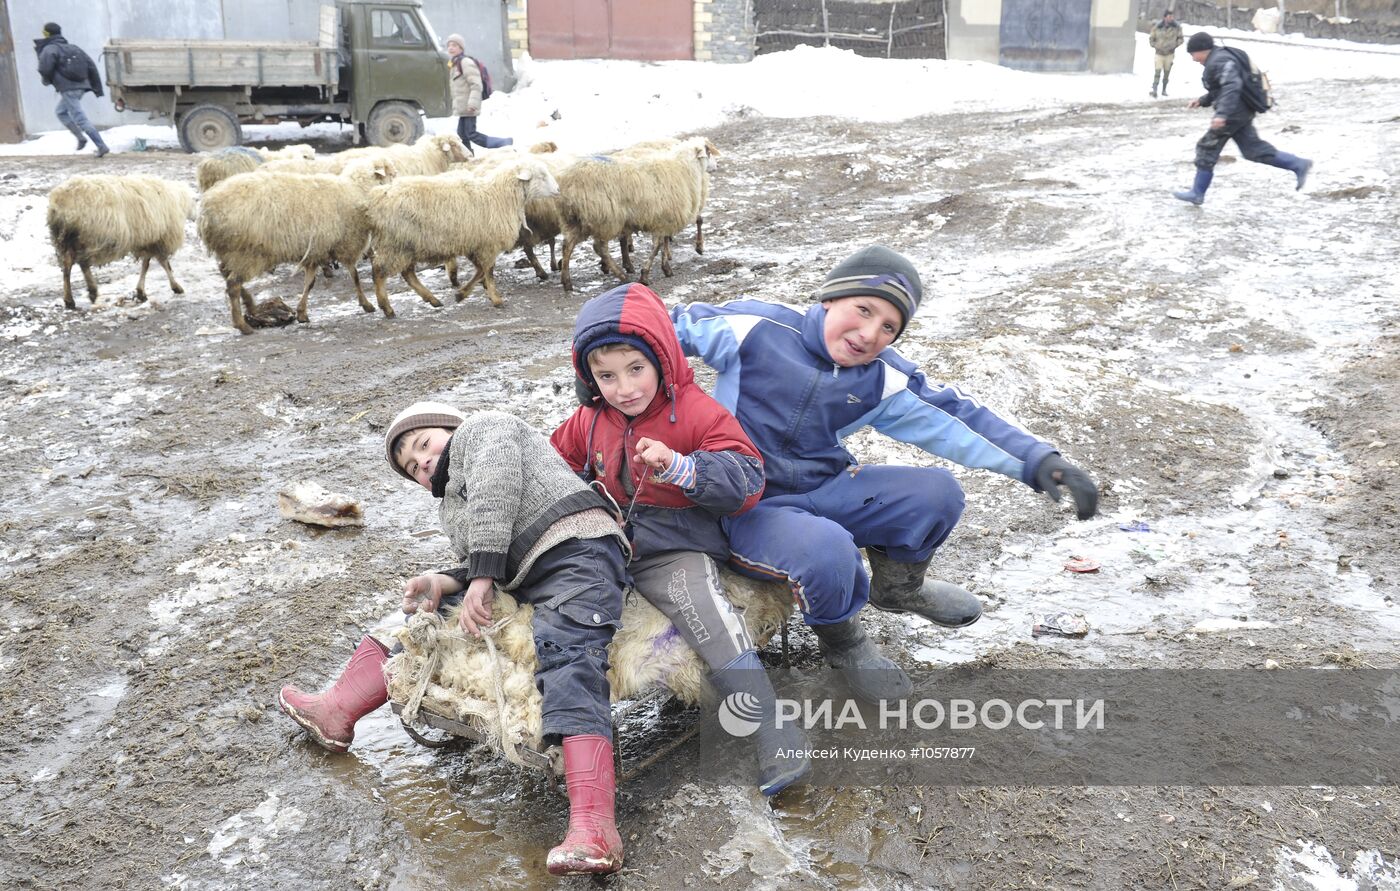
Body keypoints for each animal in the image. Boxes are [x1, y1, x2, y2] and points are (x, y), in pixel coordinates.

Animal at [46, 173, 196, 309]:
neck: (178, 200)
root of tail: (60, 201)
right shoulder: (159, 239)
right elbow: (164, 264)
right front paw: (176, 287)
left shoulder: (148, 240)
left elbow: (146, 264)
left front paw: (141, 291)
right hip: (89, 237)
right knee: (83, 263)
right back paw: (91, 291)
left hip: (66, 240)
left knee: (67, 266)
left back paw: (69, 299)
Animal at [197, 156, 397, 333]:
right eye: (392, 175)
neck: (357, 189)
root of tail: (207, 211)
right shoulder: (345, 243)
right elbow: (355, 276)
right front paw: (367, 304)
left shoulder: (317, 249)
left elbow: (310, 282)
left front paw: (301, 313)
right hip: (246, 252)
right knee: (232, 284)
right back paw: (242, 325)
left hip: (230, 252)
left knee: (227, 276)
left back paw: (251, 305)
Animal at [369, 156, 560, 313]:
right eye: (542, 176)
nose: (558, 189)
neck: (499, 195)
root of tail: (378, 197)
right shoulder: (487, 245)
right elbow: (487, 271)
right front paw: (495, 298)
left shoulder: (476, 245)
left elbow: (481, 271)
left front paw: (462, 294)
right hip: (395, 243)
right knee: (379, 270)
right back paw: (385, 307)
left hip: (407, 245)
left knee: (408, 274)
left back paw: (432, 300)